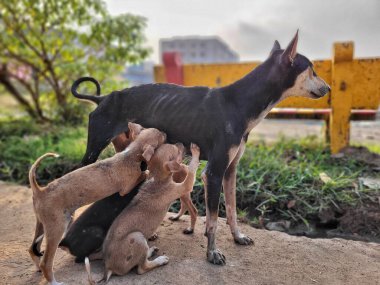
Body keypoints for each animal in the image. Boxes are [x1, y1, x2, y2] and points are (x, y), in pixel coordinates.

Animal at [29, 122, 166, 284]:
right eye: (161, 137)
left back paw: (38, 268)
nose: (165, 133)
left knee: (32, 249)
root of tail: (40, 190)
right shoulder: (126, 188)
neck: (130, 155)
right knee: (47, 261)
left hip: (43, 224)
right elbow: (143, 175)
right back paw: (53, 281)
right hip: (57, 228)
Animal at [72, 31, 332, 264]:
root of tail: (103, 98)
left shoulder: (230, 170)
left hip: (126, 152)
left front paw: (237, 236)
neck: (239, 103)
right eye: (312, 69)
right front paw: (212, 252)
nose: (329, 88)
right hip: (94, 148)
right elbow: (214, 219)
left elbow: (232, 209)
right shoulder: (214, 173)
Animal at [84, 142, 200, 282]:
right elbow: (192, 170)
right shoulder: (184, 186)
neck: (157, 177)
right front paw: (196, 152)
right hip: (137, 237)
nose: (181, 143)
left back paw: (150, 251)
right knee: (141, 268)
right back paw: (160, 260)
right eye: (176, 150)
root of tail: (107, 268)